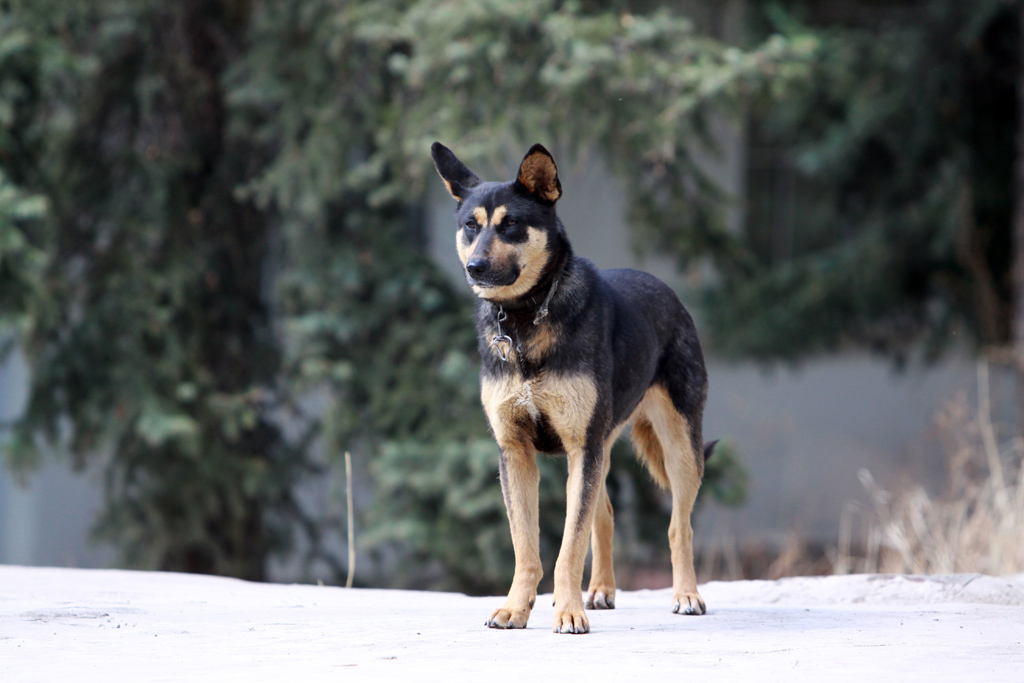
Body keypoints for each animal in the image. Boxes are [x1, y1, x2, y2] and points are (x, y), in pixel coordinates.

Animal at [430, 140, 712, 634]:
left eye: (511, 224)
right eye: (471, 226)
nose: (475, 267)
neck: (526, 318)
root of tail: (665, 289)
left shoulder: (582, 447)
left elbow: (569, 546)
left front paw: (567, 612)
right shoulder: (517, 451)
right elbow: (527, 545)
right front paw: (515, 608)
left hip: (677, 444)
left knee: (680, 525)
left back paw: (686, 595)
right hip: (600, 447)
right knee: (606, 515)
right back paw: (600, 590)